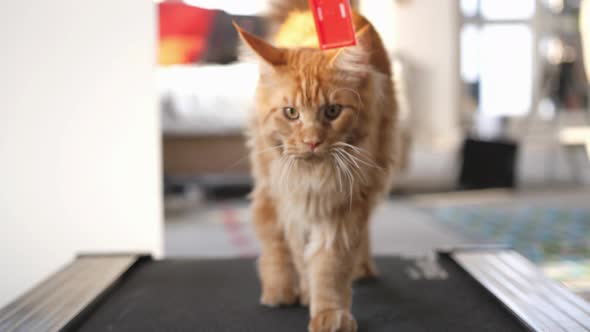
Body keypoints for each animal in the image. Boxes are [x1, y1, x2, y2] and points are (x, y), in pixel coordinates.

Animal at [235, 1, 398, 330]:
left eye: (333, 111)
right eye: (291, 112)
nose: (311, 141)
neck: (313, 177)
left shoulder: (345, 206)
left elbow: (329, 265)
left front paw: (328, 312)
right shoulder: (292, 205)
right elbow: (298, 253)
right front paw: (307, 294)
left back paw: (361, 268)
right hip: (267, 185)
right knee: (273, 242)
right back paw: (279, 290)